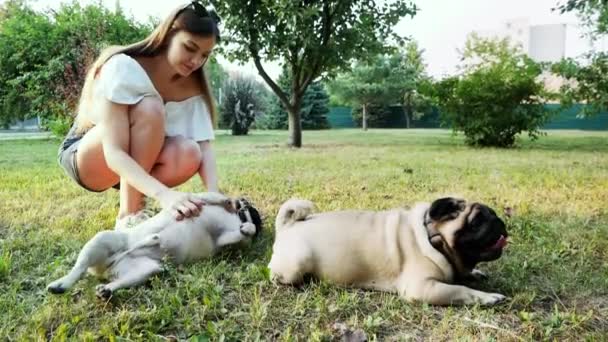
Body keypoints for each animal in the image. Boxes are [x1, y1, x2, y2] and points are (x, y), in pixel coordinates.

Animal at [268, 196, 510, 306]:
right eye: (476, 222)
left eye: (492, 214)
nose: (498, 222)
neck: (433, 238)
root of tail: (287, 226)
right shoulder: (421, 288)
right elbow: (460, 290)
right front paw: (487, 297)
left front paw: (475, 273)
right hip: (296, 264)